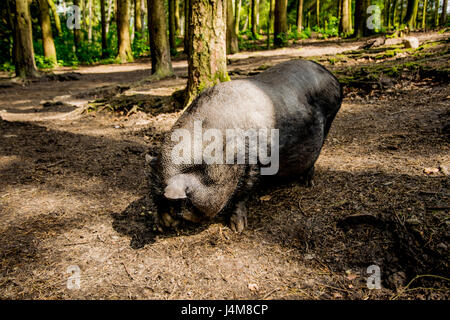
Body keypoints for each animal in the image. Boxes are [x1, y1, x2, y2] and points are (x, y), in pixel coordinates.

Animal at [148, 58, 342, 231]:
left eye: (176, 201)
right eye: (154, 195)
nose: (162, 226)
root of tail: (333, 77)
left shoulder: (254, 161)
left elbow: (242, 193)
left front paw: (238, 228)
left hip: (331, 116)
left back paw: (308, 183)